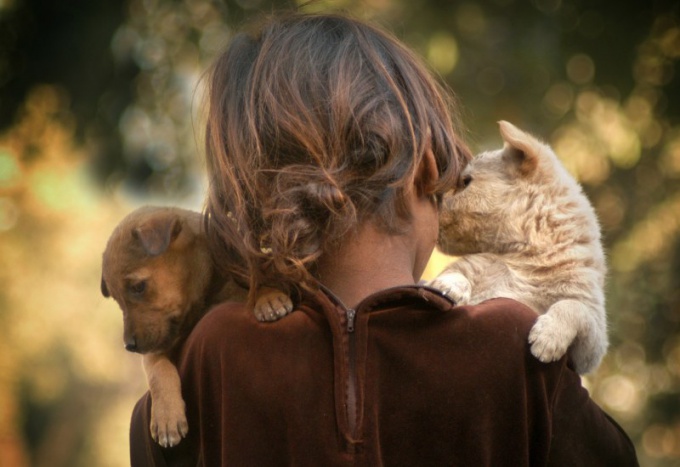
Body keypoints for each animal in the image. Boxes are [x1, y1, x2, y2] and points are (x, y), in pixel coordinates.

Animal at [103, 207, 292, 448]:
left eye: (138, 287)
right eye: (117, 300)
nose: (130, 346)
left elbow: (253, 281)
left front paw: (268, 296)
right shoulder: (157, 347)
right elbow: (158, 371)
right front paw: (166, 417)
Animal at [430, 121, 604, 376]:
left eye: (466, 182)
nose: (435, 212)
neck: (526, 257)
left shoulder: (592, 341)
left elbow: (571, 306)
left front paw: (546, 340)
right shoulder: (470, 266)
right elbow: (455, 274)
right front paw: (448, 285)